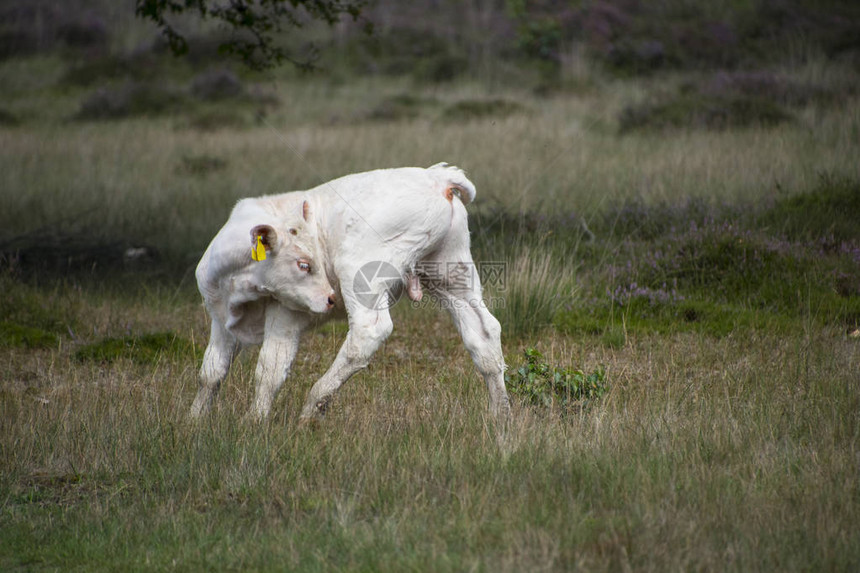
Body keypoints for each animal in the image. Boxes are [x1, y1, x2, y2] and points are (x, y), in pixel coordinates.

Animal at [191, 163, 508, 422]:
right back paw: (500, 416)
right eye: (303, 264)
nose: (331, 298)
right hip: (452, 274)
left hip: (360, 272)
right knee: (484, 333)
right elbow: (211, 372)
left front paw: (253, 422)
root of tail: (435, 176)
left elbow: (270, 368)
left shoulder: (286, 313)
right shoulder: (221, 320)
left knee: (369, 332)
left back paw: (312, 407)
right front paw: (195, 420)